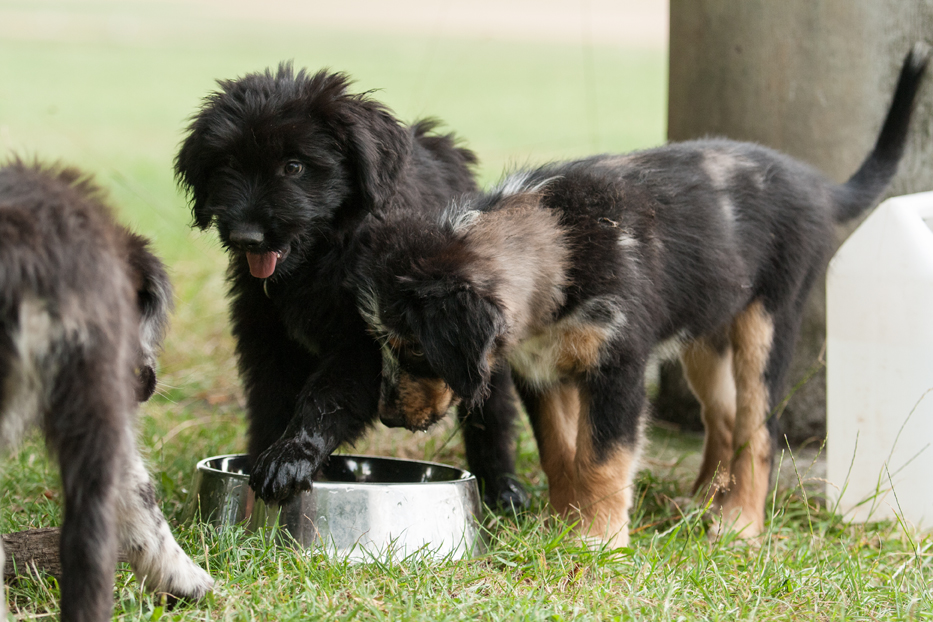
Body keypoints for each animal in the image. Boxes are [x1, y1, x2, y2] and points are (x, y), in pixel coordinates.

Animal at [174, 64, 527, 508]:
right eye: (228, 163)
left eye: (294, 166)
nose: (246, 238)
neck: (319, 260)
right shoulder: (265, 338)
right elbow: (270, 404)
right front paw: (261, 466)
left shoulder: (362, 344)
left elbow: (326, 397)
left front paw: (290, 458)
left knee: (491, 412)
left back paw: (503, 488)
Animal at [351, 46, 930, 547]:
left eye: (414, 348)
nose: (386, 416)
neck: (562, 246)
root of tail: (819, 187)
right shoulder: (539, 373)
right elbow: (559, 452)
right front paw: (562, 524)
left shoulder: (618, 366)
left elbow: (600, 457)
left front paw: (599, 540)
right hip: (704, 335)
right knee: (721, 418)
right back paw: (703, 500)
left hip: (767, 323)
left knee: (758, 429)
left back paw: (738, 524)